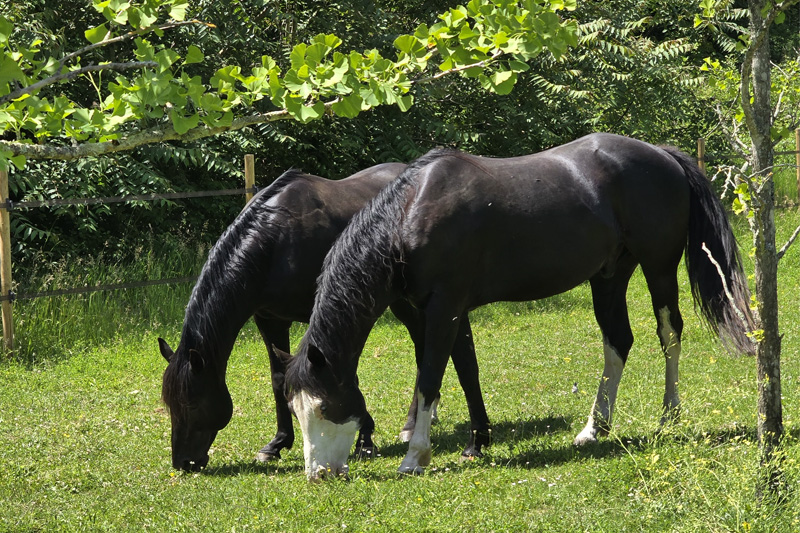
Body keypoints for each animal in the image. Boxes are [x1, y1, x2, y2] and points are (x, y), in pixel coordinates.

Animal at [158, 163, 492, 472]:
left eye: (191, 403)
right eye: (169, 404)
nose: (183, 462)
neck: (276, 241)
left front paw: (365, 440)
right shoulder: (270, 319)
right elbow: (279, 378)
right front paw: (277, 443)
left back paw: (414, 425)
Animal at [285, 133, 755, 479]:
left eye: (324, 406)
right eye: (294, 409)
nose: (318, 475)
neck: (412, 213)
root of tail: (662, 154)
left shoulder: (444, 307)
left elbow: (431, 376)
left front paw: (415, 456)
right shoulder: (451, 310)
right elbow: (465, 369)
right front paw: (477, 442)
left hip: (658, 268)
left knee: (669, 332)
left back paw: (669, 415)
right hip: (609, 276)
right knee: (618, 341)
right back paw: (594, 428)